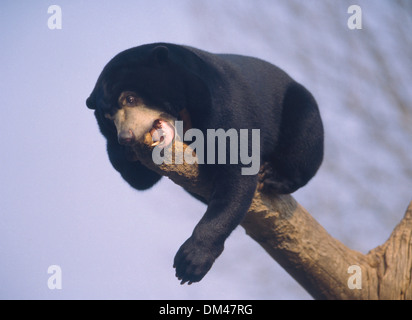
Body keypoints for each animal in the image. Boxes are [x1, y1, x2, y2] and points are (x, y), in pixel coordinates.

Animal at [85, 43, 324, 284]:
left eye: (130, 98)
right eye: (108, 116)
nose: (126, 136)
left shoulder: (221, 103)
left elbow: (237, 171)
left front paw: (190, 263)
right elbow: (140, 180)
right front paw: (123, 153)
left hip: (297, 107)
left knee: (304, 137)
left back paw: (274, 176)